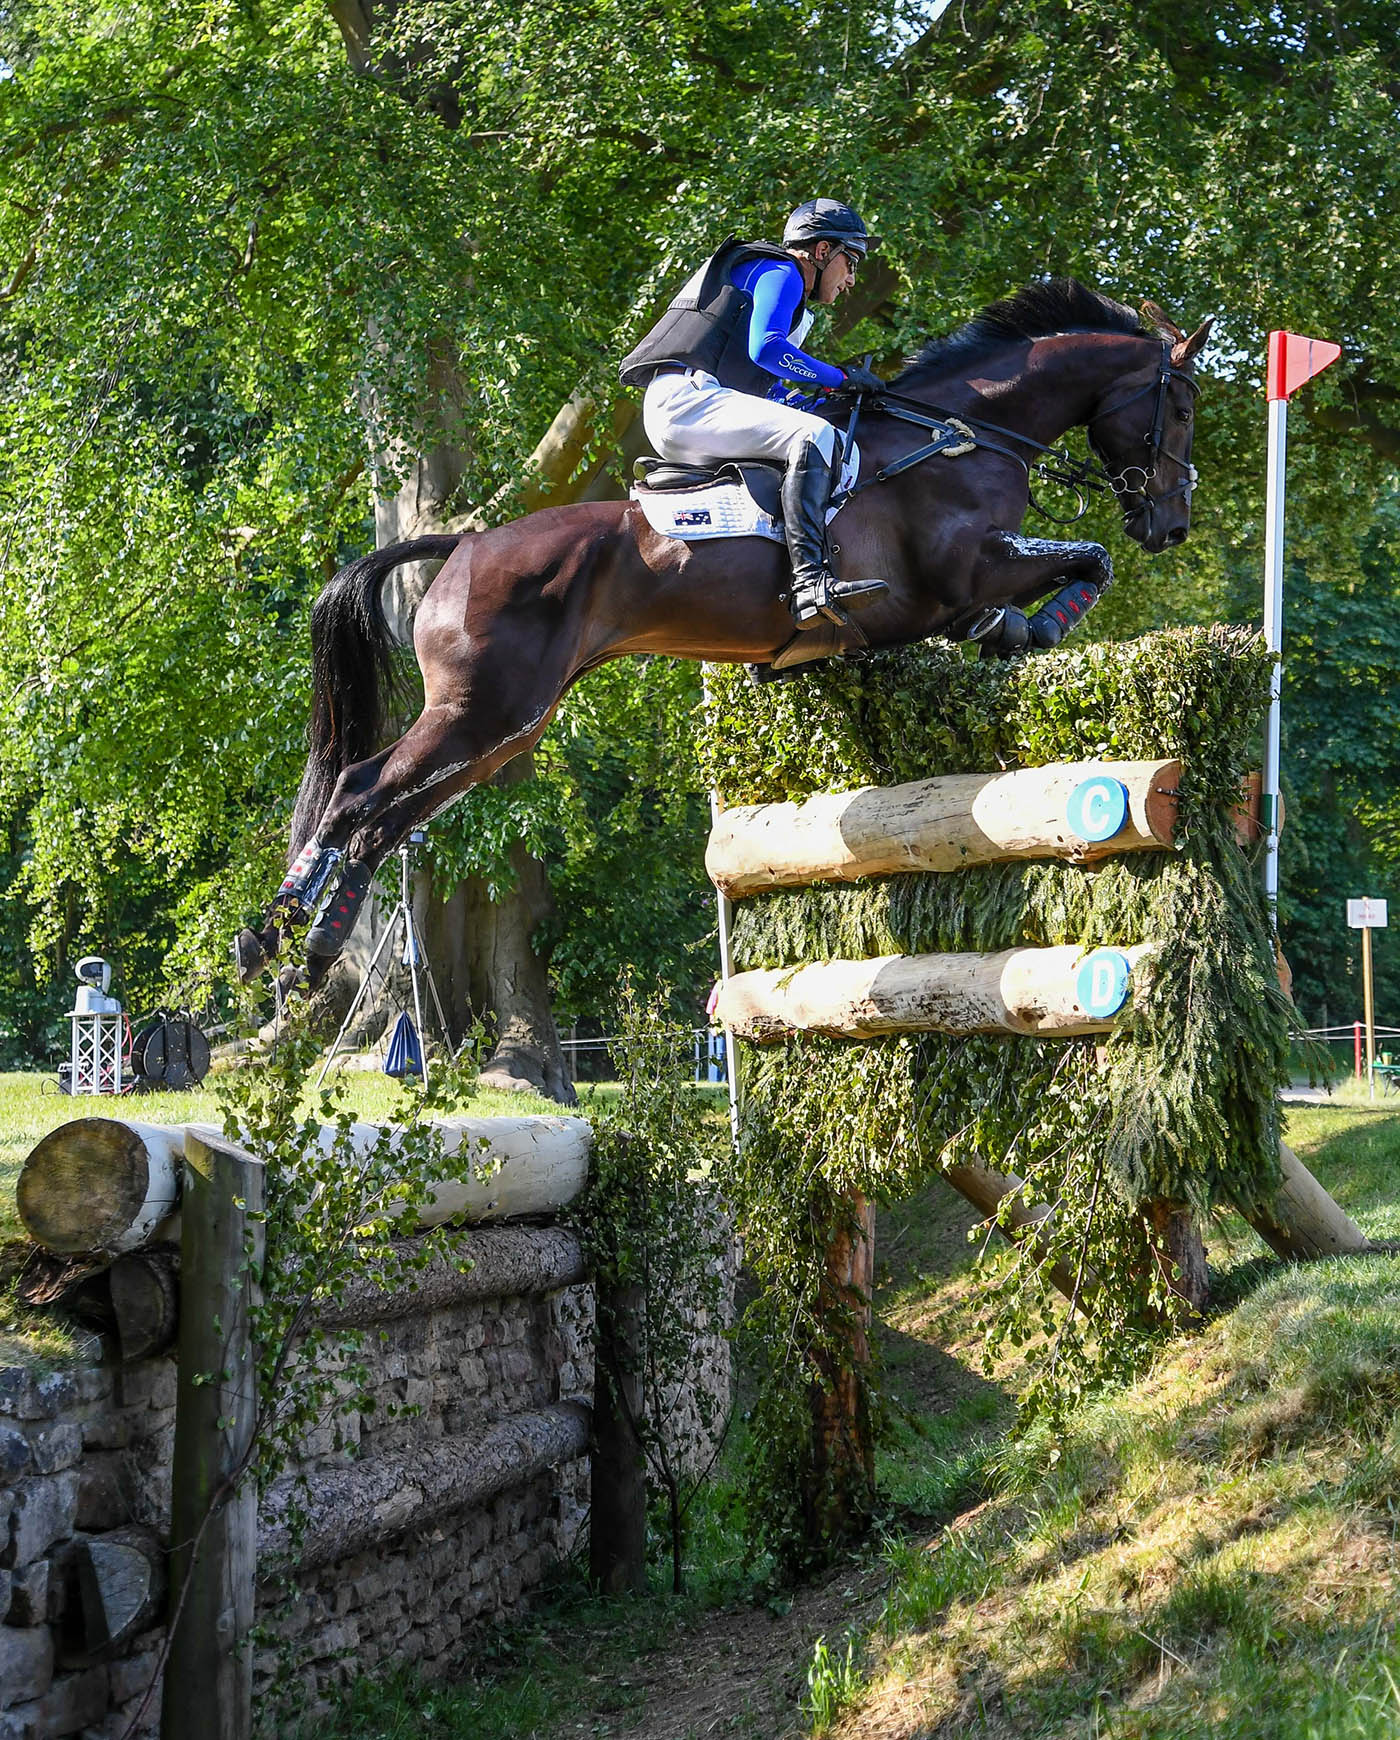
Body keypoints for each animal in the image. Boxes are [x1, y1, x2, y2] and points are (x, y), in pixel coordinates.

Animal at [231, 274, 1210, 995]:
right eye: (1184, 407)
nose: (1172, 526)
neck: (962, 436)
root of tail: (466, 542)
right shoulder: (966, 570)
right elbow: (1085, 563)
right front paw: (1025, 627)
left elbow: (1080, 564)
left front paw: (1017, 628)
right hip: (481, 708)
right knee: (357, 791)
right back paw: (275, 942)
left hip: (505, 727)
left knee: (386, 819)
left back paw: (307, 947)